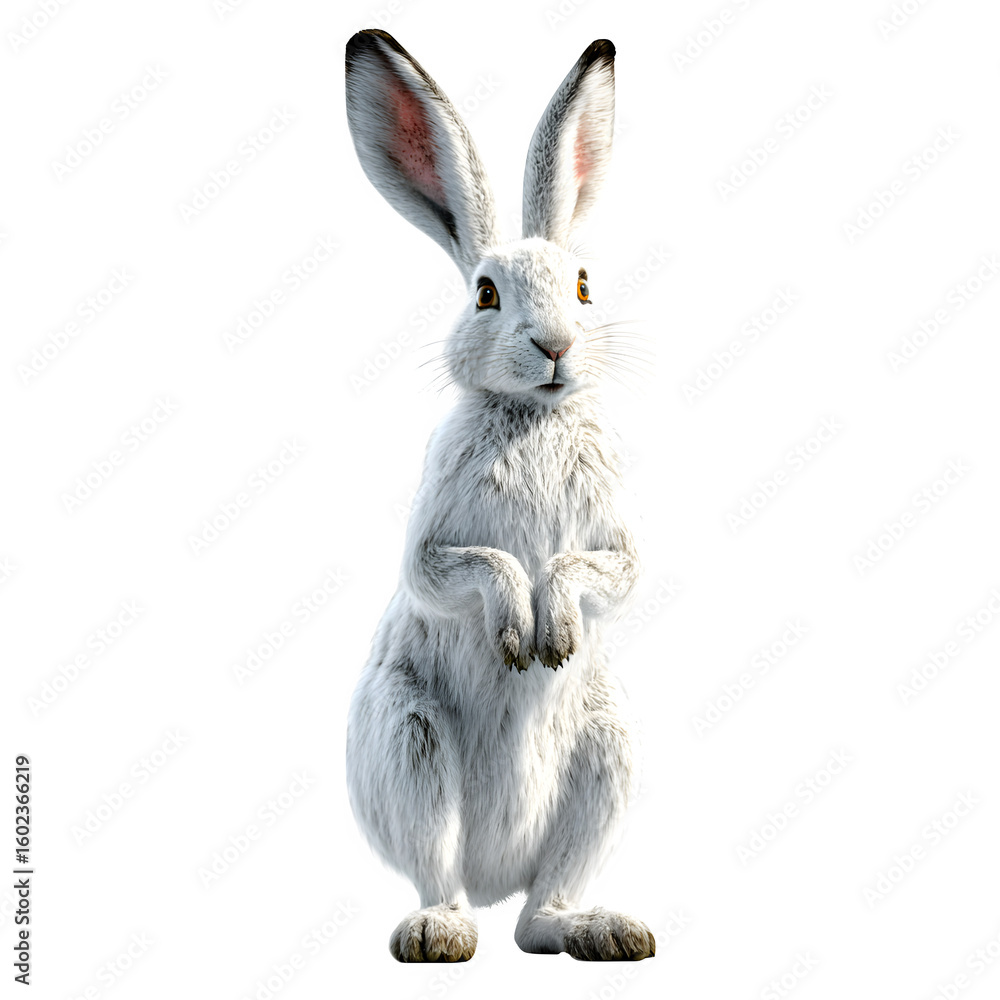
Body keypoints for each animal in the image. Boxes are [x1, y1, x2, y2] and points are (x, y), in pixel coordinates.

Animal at [344, 29, 654, 962]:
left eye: (583, 284)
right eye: (485, 294)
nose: (554, 344)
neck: (533, 414)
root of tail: (494, 874)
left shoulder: (616, 537)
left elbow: (606, 574)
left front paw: (555, 630)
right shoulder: (434, 539)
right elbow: (465, 568)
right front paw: (520, 631)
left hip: (607, 760)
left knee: (535, 916)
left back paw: (602, 930)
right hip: (409, 742)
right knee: (441, 875)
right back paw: (438, 933)